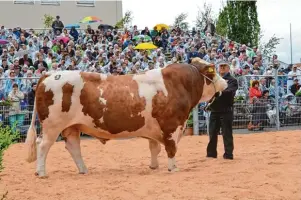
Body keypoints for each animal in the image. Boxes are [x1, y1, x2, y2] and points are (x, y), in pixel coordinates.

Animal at [25, 57, 226, 177]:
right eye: (212, 71)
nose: (225, 82)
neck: (177, 84)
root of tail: (50, 74)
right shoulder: (172, 126)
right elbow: (171, 148)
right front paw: (173, 168)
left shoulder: (156, 129)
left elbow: (154, 148)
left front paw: (154, 166)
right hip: (52, 126)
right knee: (43, 145)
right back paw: (41, 172)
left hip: (72, 127)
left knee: (73, 147)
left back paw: (84, 170)